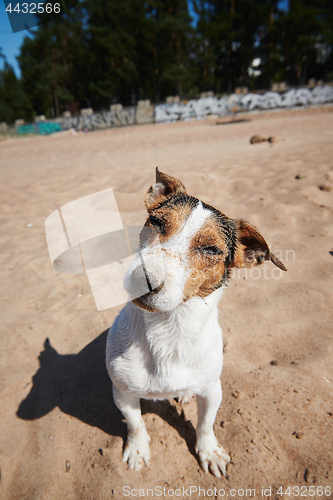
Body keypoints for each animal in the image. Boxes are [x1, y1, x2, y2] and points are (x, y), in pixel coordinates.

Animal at [105, 168, 286, 476]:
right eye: (156, 222)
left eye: (212, 249)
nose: (143, 279)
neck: (170, 328)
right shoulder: (123, 393)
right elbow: (135, 423)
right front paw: (138, 449)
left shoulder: (213, 390)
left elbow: (205, 424)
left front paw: (209, 451)